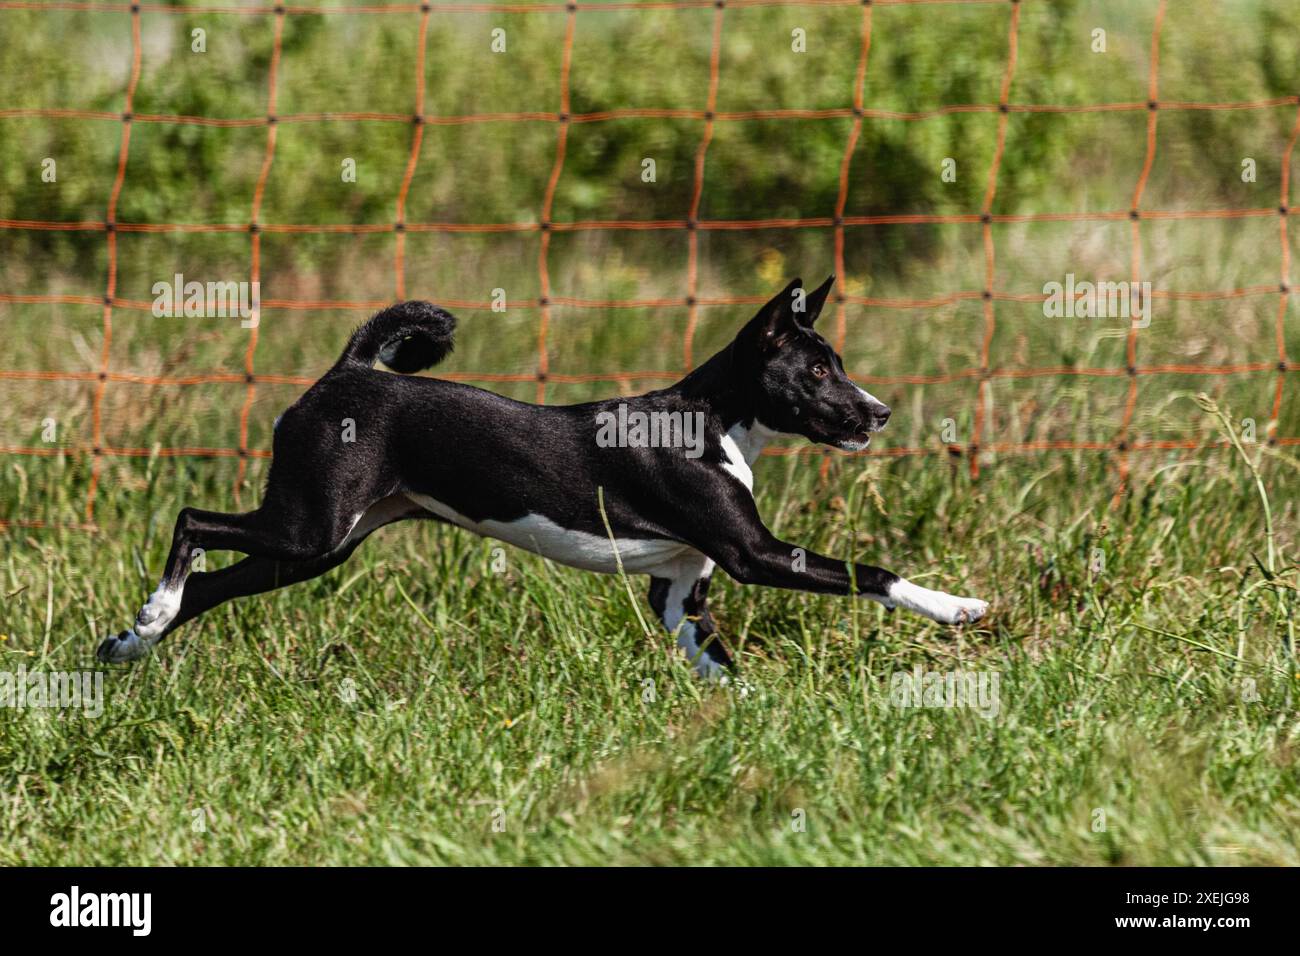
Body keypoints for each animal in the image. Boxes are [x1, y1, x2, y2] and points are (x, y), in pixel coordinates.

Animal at [98, 277, 982, 676]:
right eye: (819, 371)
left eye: (840, 364)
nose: (879, 413)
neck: (710, 424)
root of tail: (347, 371)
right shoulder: (754, 555)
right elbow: (872, 573)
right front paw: (956, 607)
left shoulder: (680, 591)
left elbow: (721, 667)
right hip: (311, 525)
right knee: (191, 522)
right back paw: (152, 611)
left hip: (319, 546)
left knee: (211, 585)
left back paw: (134, 639)